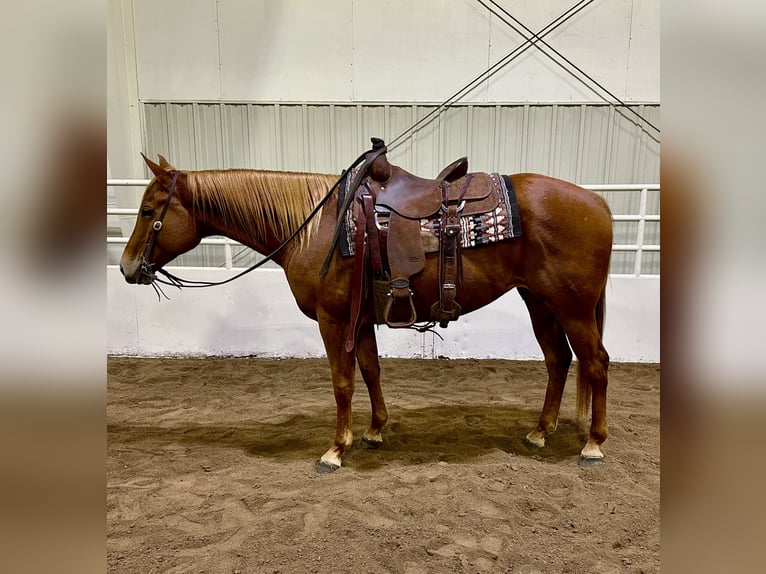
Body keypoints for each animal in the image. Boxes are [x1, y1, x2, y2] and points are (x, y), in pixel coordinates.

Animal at [120, 152, 612, 472]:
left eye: (148, 210)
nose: (126, 267)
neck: (316, 227)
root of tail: (598, 203)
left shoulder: (333, 319)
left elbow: (343, 383)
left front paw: (336, 449)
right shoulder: (360, 320)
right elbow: (371, 370)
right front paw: (375, 431)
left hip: (573, 307)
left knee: (596, 363)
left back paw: (593, 444)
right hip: (540, 303)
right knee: (558, 361)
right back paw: (541, 432)